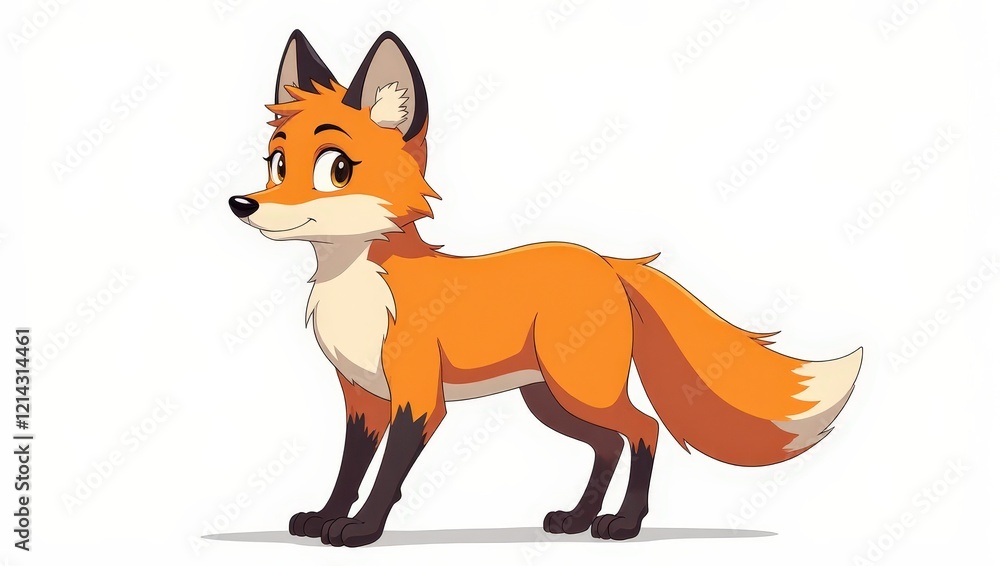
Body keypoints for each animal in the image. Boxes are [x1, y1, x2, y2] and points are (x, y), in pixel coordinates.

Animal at [228, 30, 862, 547]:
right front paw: (324, 517)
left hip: (579, 390)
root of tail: (605, 261)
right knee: (610, 444)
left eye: (336, 169)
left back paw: (623, 525)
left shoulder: (418, 397)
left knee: (644, 430)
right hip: (551, 399)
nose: (242, 205)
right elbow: (349, 469)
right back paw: (579, 519)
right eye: (276, 165)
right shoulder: (362, 397)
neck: (357, 291)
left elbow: (386, 475)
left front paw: (360, 530)